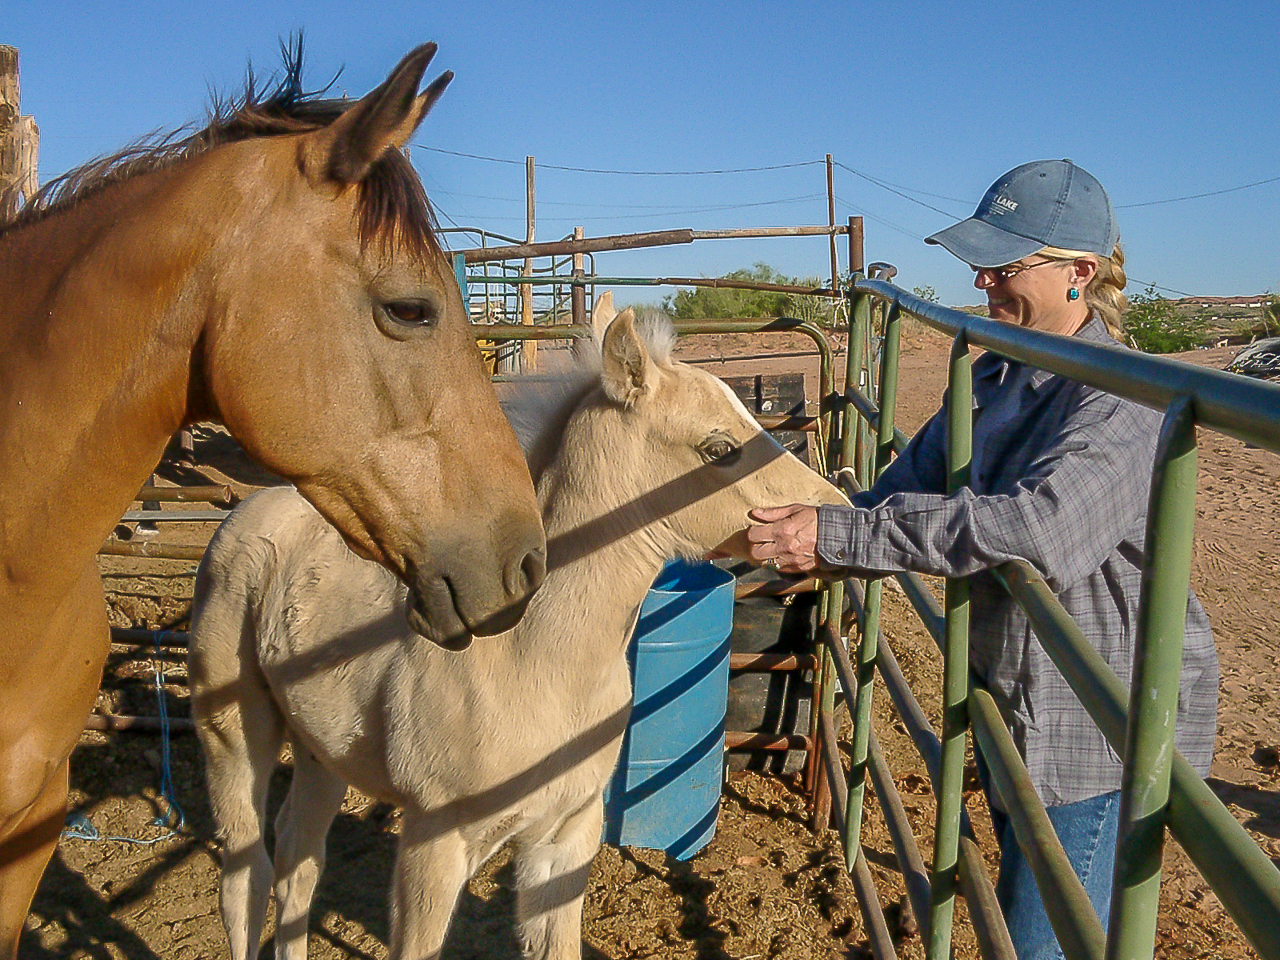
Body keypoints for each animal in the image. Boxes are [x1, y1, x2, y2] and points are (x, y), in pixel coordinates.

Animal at [189, 308, 844, 960]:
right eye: (720, 448)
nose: (829, 510)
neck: (533, 661)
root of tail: (246, 511)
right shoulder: (433, 842)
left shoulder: (566, 836)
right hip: (232, 735)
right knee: (245, 878)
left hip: (321, 748)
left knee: (298, 860)